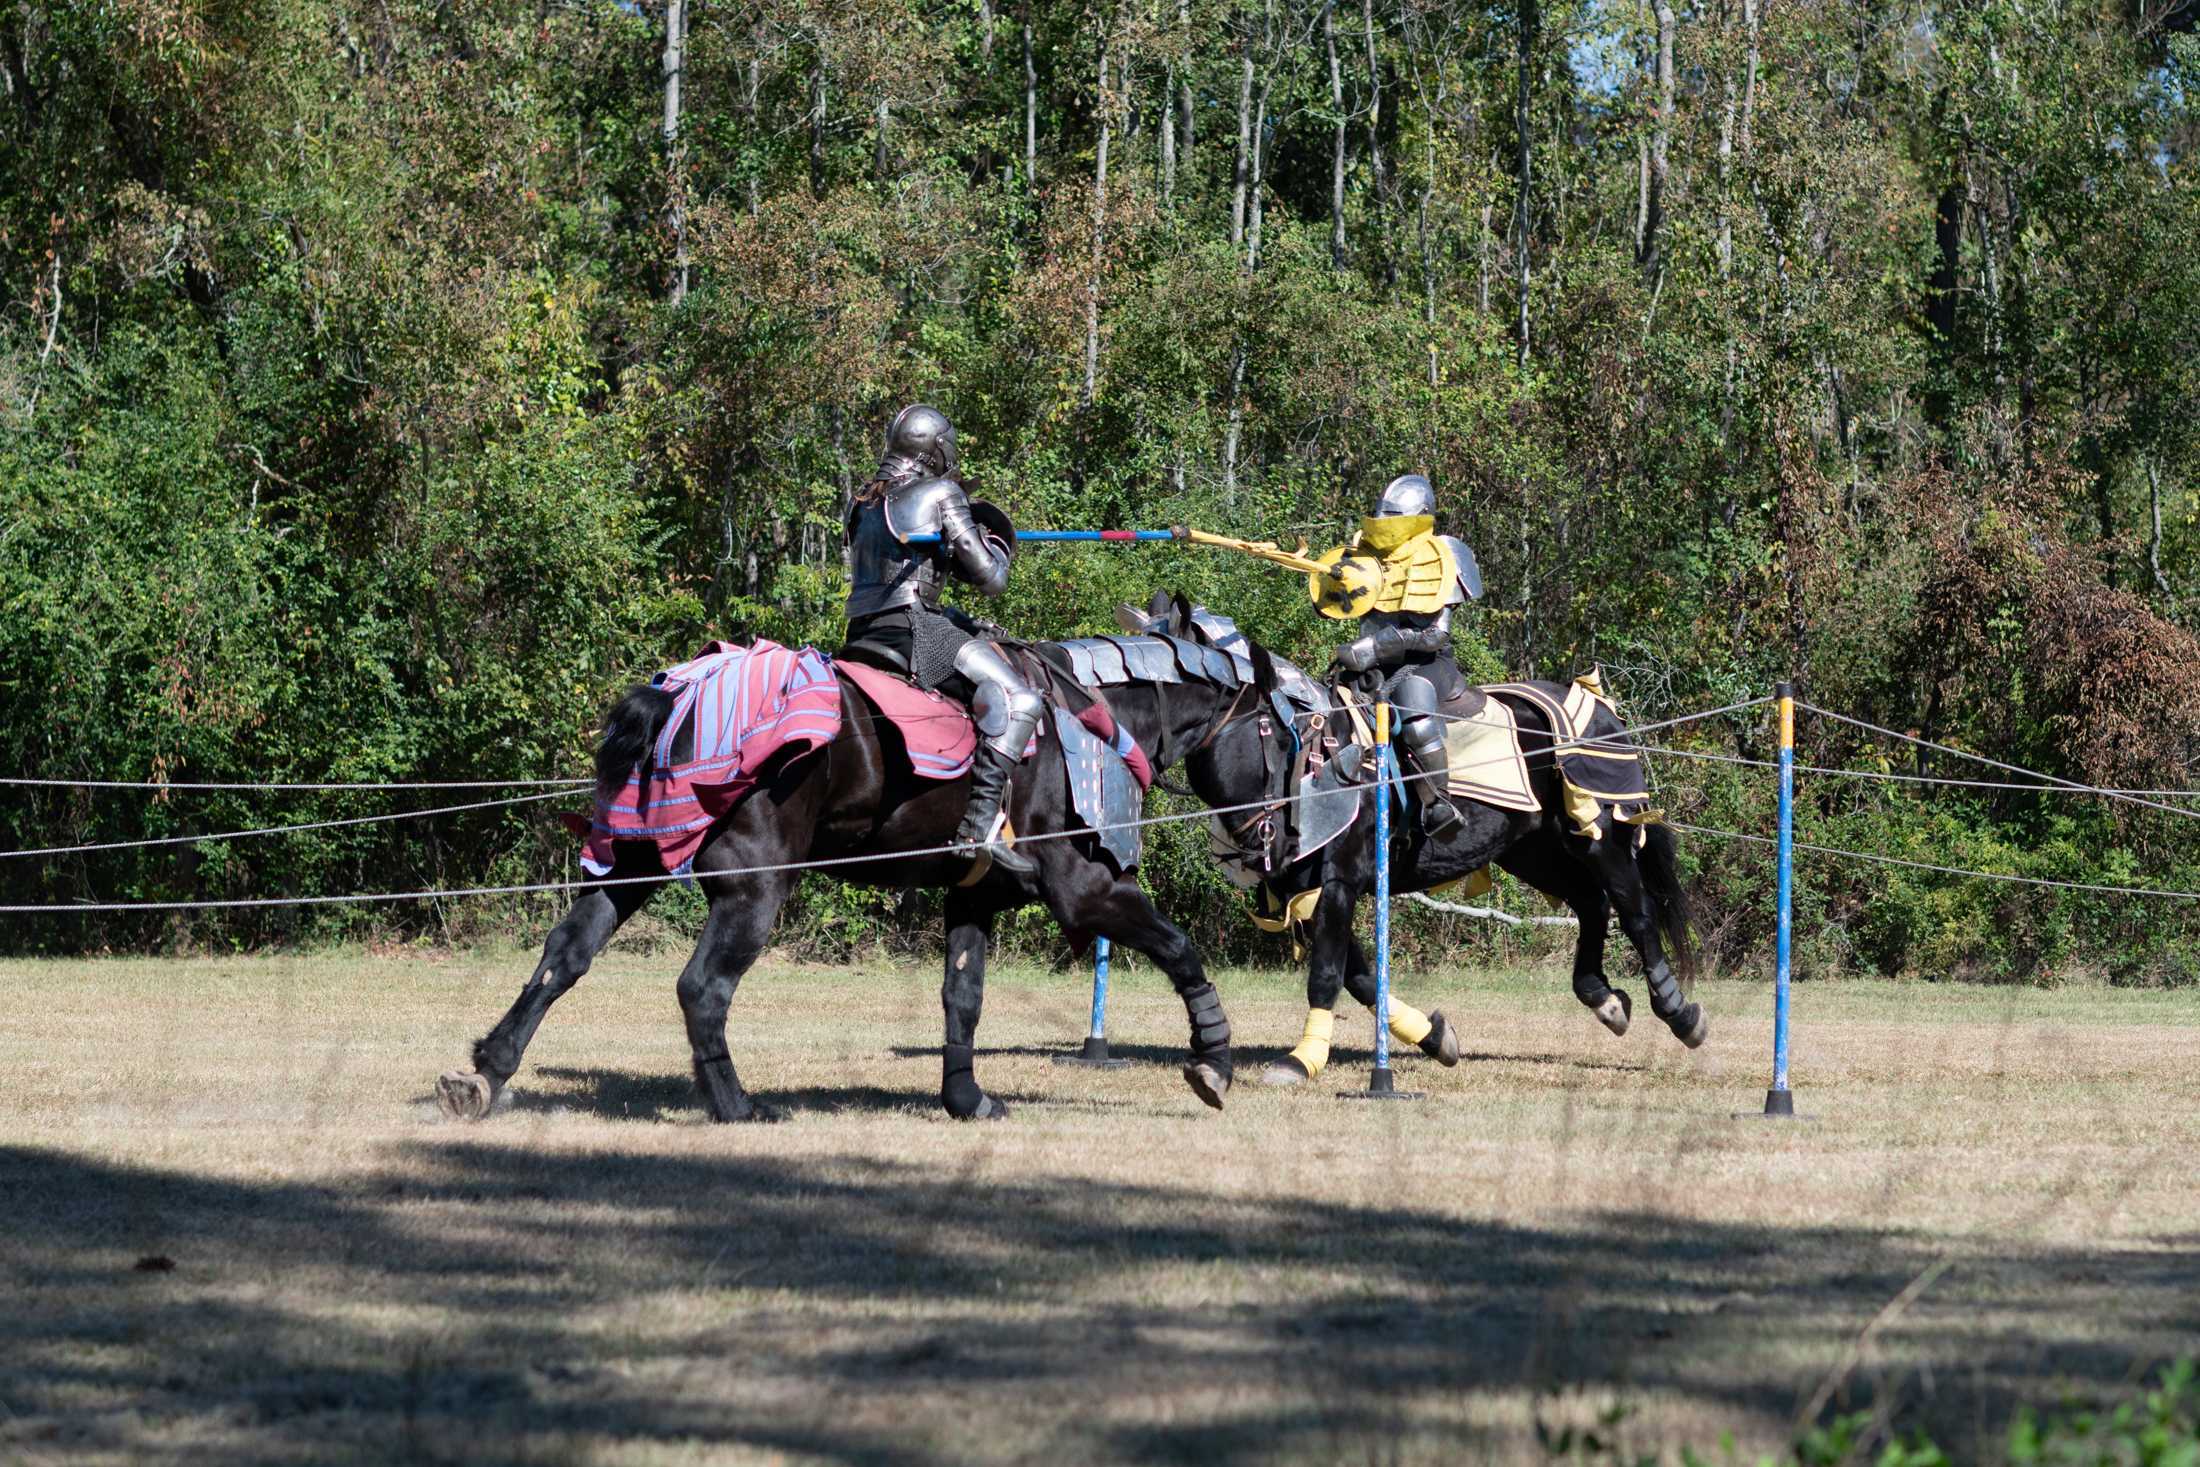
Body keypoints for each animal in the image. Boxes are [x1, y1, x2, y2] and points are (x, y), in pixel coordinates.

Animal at [431, 637, 1276, 1134]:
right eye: (1275, 732)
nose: (1262, 839)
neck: (1088, 725)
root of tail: (679, 696)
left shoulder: (973, 896)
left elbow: (962, 996)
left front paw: (966, 1099)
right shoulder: (1085, 889)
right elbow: (1179, 947)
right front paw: (1214, 1060)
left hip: (635, 863)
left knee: (566, 954)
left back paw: (487, 1073)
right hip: (755, 888)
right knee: (703, 987)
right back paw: (737, 1106)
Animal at [1135, 589, 1698, 1086]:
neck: (1302, 754)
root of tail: (1598, 708)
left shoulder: (1339, 882)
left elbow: (1327, 974)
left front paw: (1300, 1061)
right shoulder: (1308, 889)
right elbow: (1360, 978)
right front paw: (1434, 1038)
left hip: (1598, 835)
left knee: (1635, 910)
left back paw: (1679, 1013)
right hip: (1532, 849)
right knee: (1590, 903)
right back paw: (1604, 999)